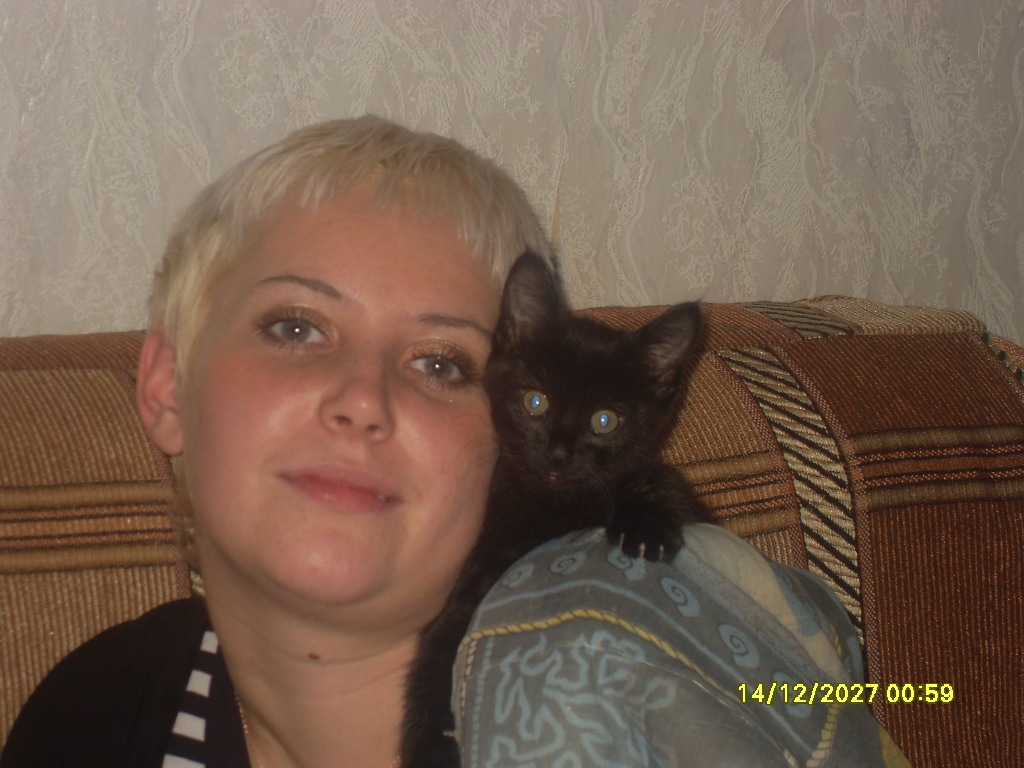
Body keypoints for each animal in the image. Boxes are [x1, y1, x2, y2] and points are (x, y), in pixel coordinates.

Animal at [400, 251, 712, 767]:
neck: (554, 506)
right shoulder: (480, 565)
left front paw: (645, 527)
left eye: (605, 420)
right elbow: (438, 648)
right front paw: (429, 742)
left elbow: (659, 479)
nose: (559, 453)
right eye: (535, 401)